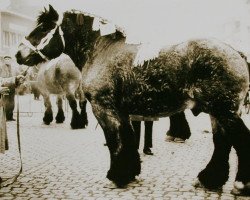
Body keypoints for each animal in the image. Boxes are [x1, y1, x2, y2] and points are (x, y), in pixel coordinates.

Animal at [15, 5, 250, 195]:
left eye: (44, 28)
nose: (18, 54)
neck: (101, 51)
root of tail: (235, 51)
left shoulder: (103, 109)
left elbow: (114, 142)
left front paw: (116, 176)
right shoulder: (122, 112)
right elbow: (127, 139)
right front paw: (129, 173)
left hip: (223, 110)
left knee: (239, 139)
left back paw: (240, 184)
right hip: (218, 111)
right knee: (222, 143)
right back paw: (210, 179)